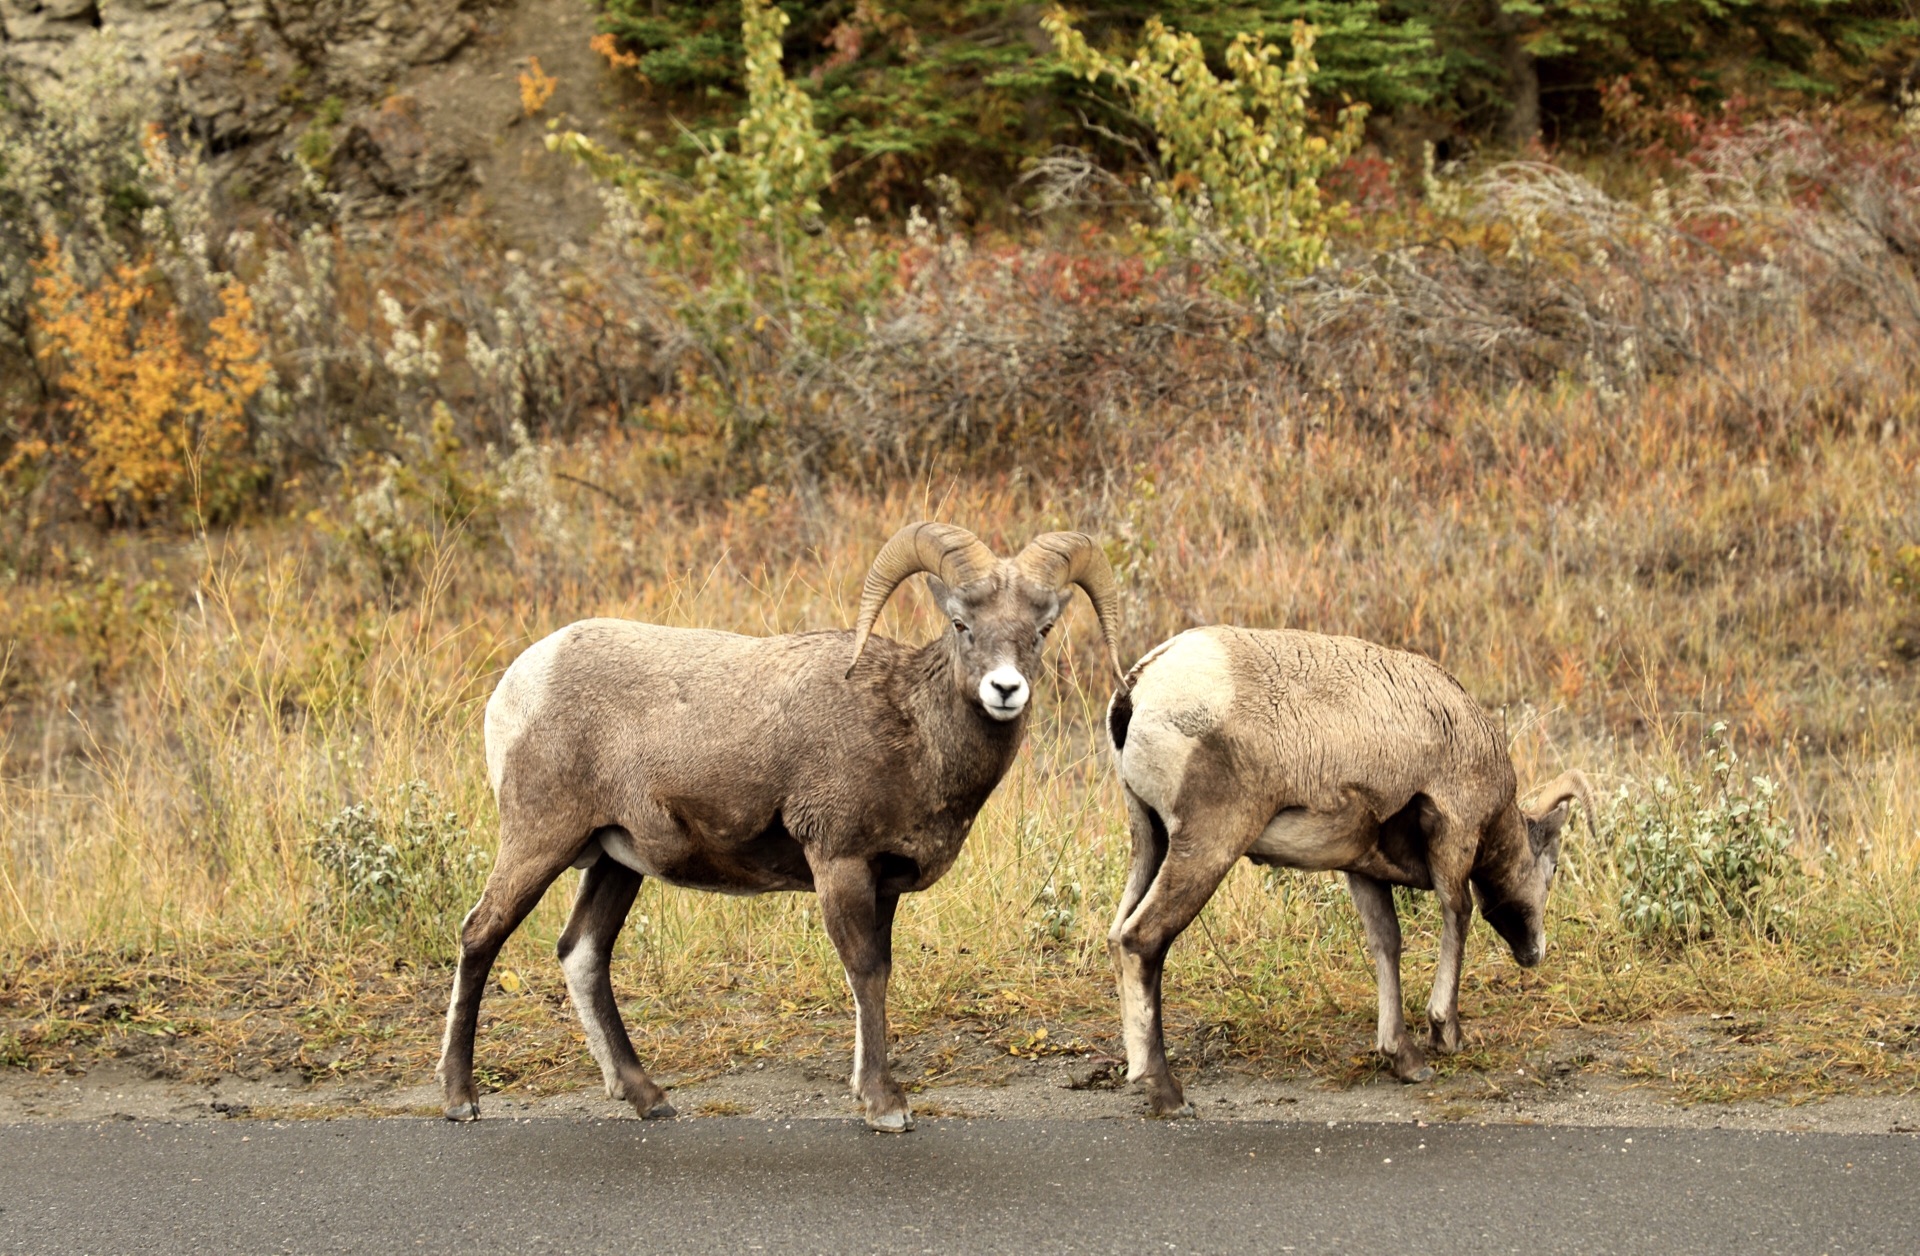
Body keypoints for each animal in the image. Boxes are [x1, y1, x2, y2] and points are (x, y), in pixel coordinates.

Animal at [435, 526, 1121, 1136]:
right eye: (961, 624)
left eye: (1041, 630)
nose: (1005, 689)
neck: (912, 731)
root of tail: (518, 683)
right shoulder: (840, 864)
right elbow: (866, 972)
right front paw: (885, 1106)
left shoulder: (884, 885)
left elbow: (880, 972)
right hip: (538, 841)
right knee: (481, 934)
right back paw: (460, 1099)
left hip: (615, 861)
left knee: (582, 953)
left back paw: (648, 1098)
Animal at [1105, 626, 1597, 1113]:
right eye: (1552, 870)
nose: (1534, 953)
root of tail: (1137, 689)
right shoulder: (1453, 835)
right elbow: (1458, 916)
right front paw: (1445, 1035)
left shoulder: (1363, 870)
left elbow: (1386, 944)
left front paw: (1405, 1059)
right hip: (1208, 845)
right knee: (1142, 939)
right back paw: (1168, 1093)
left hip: (1150, 841)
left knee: (1116, 936)